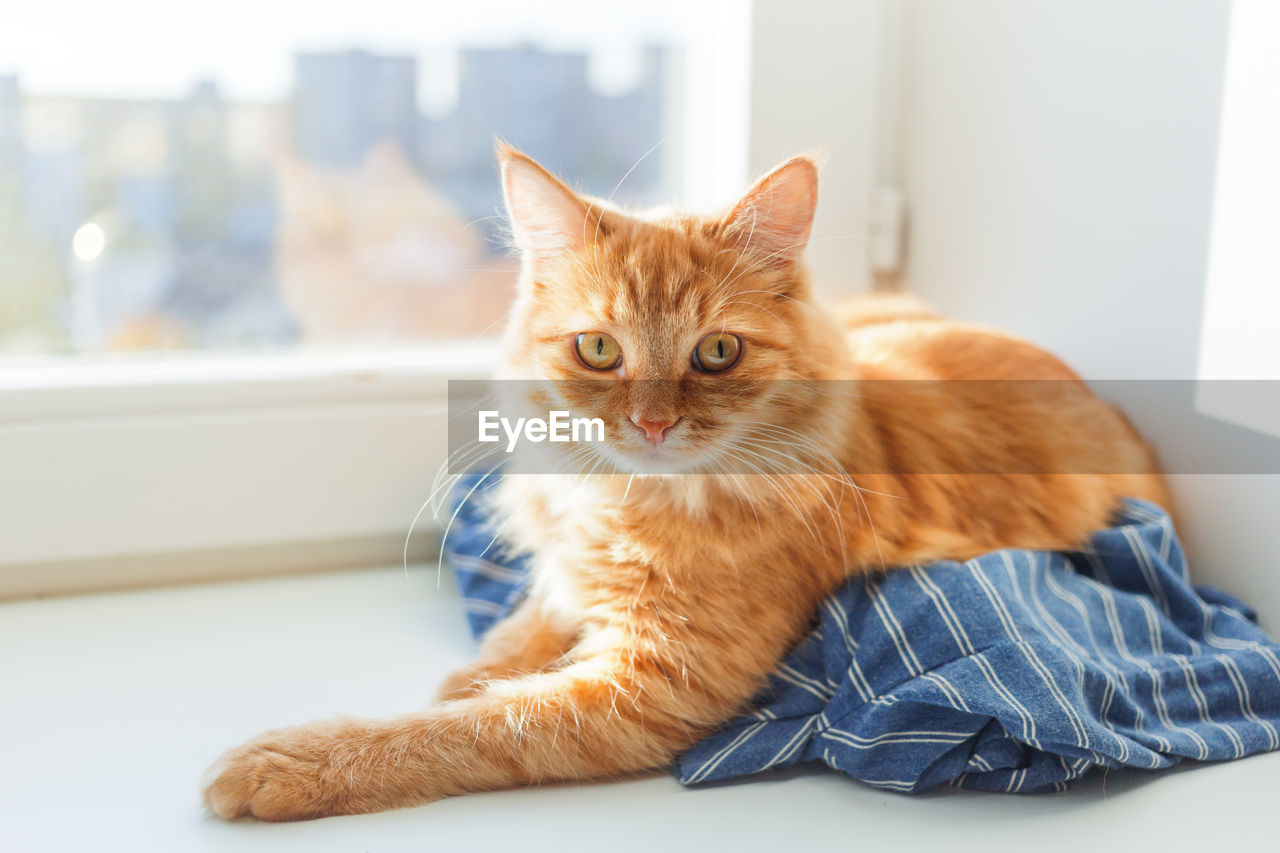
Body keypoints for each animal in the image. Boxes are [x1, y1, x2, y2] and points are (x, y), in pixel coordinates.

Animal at [202, 144, 1172, 819]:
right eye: (599, 349)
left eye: (718, 352)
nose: (653, 424)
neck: (623, 498)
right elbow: (527, 624)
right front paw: (478, 666)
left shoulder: (656, 679)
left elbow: (475, 726)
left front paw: (295, 762)